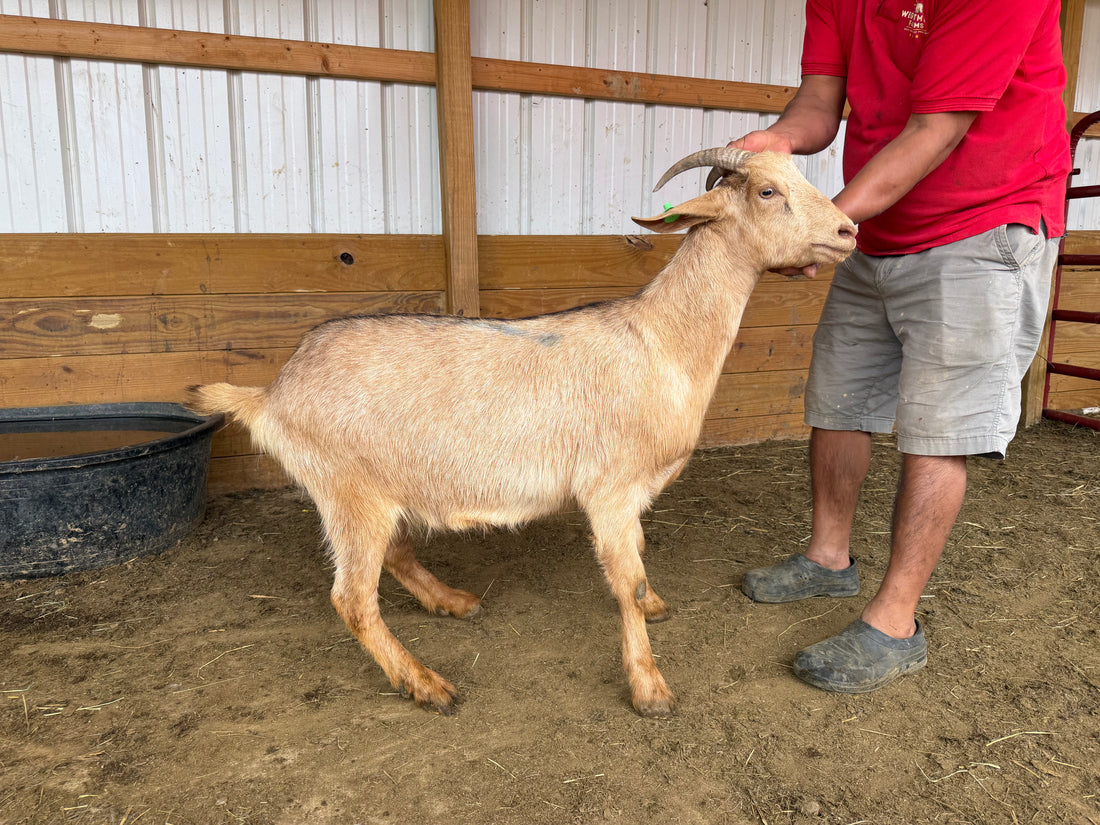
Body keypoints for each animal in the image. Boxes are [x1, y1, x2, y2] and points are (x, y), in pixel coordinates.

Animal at [186, 149, 856, 717]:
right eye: (768, 191)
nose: (849, 231)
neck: (659, 341)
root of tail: (273, 393)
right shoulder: (609, 488)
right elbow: (627, 581)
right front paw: (650, 689)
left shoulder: (633, 494)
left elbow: (640, 564)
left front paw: (657, 611)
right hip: (348, 490)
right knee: (352, 598)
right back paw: (427, 685)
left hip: (378, 486)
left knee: (394, 554)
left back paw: (452, 601)